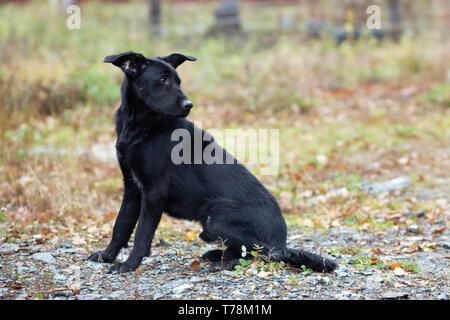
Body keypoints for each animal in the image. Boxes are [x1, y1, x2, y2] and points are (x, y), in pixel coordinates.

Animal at [87, 51, 338, 274]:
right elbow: (121, 225)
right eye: (162, 80)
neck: (141, 125)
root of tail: (282, 243)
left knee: (266, 254)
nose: (189, 105)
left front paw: (129, 265)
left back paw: (224, 262)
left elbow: (141, 232)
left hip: (214, 218)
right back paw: (217, 255)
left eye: (178, 81)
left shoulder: (154, 192)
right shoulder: (132, 187)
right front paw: (107, 256)